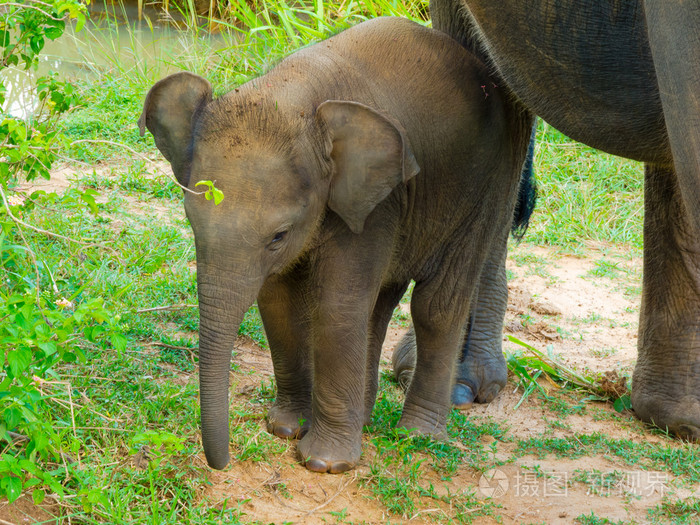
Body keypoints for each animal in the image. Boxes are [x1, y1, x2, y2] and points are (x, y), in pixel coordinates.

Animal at [141, 17, 532, 470]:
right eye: (189, 218)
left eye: (278, 236)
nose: (222, 462)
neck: (290, 93)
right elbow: (279, 300)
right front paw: (286, 429)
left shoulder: (375, 203)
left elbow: (336, 304)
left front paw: (325, 464)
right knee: (380, 302)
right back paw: (364, 418)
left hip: (488, 186)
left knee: (437, 305)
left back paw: (418, 436)